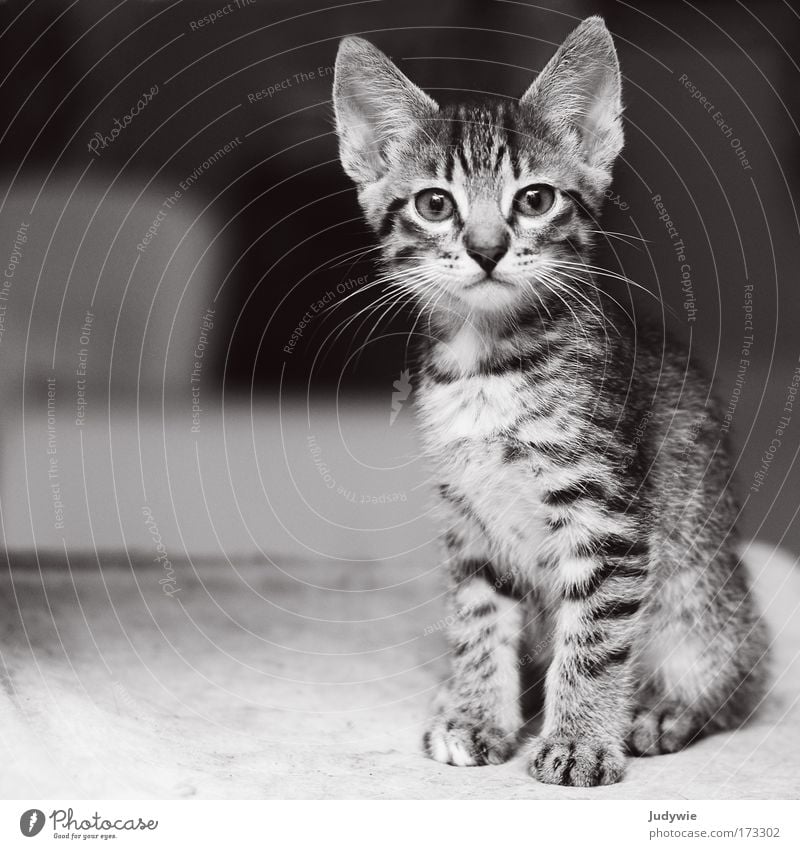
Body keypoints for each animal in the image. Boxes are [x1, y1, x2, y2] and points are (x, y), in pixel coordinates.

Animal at [332, 16, 768, 784]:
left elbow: (594, 638)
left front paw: (578, 740)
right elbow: (478, 620)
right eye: (435, 204)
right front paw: (478, 714)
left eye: (535, 199)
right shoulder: (469, 522)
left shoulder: (608, 519)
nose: (485, 248)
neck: (487, 366)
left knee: (737, 670)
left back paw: (662, 710)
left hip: (703, 592)